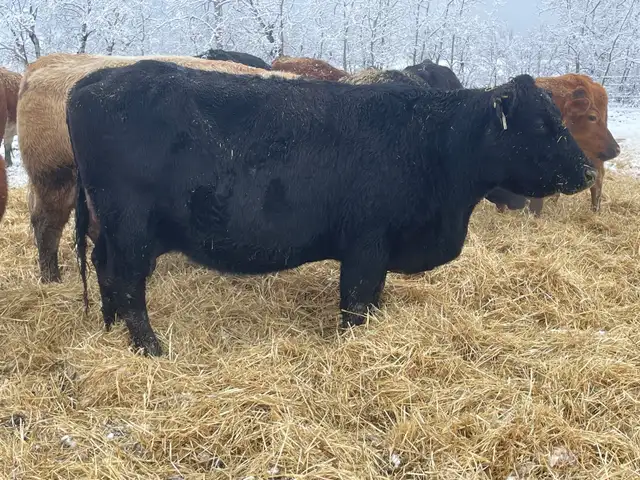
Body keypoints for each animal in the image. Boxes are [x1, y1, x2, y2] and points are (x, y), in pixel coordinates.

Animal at [67, 61, 596, 356]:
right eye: (543, 125)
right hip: (133, 231)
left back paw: (111, 329)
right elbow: (357, 305)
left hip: (112, 230)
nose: (588, 172)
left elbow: (373, 303)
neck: (433, 144)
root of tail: (94, 82)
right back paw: (151, 349)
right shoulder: (367, 246)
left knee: (105, 270)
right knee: (128, 285)